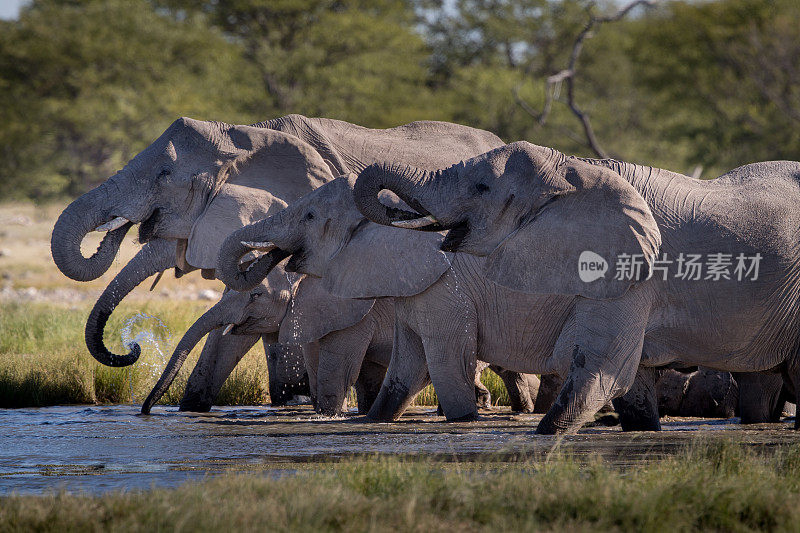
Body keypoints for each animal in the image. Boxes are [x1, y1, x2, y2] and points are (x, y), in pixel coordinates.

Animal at [352, 140, 800, 432]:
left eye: (481, 188)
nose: (396, 208)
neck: (573, 170)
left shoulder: (634, 276)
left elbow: (600, 374)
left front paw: (546, 435)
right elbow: (630, 385)